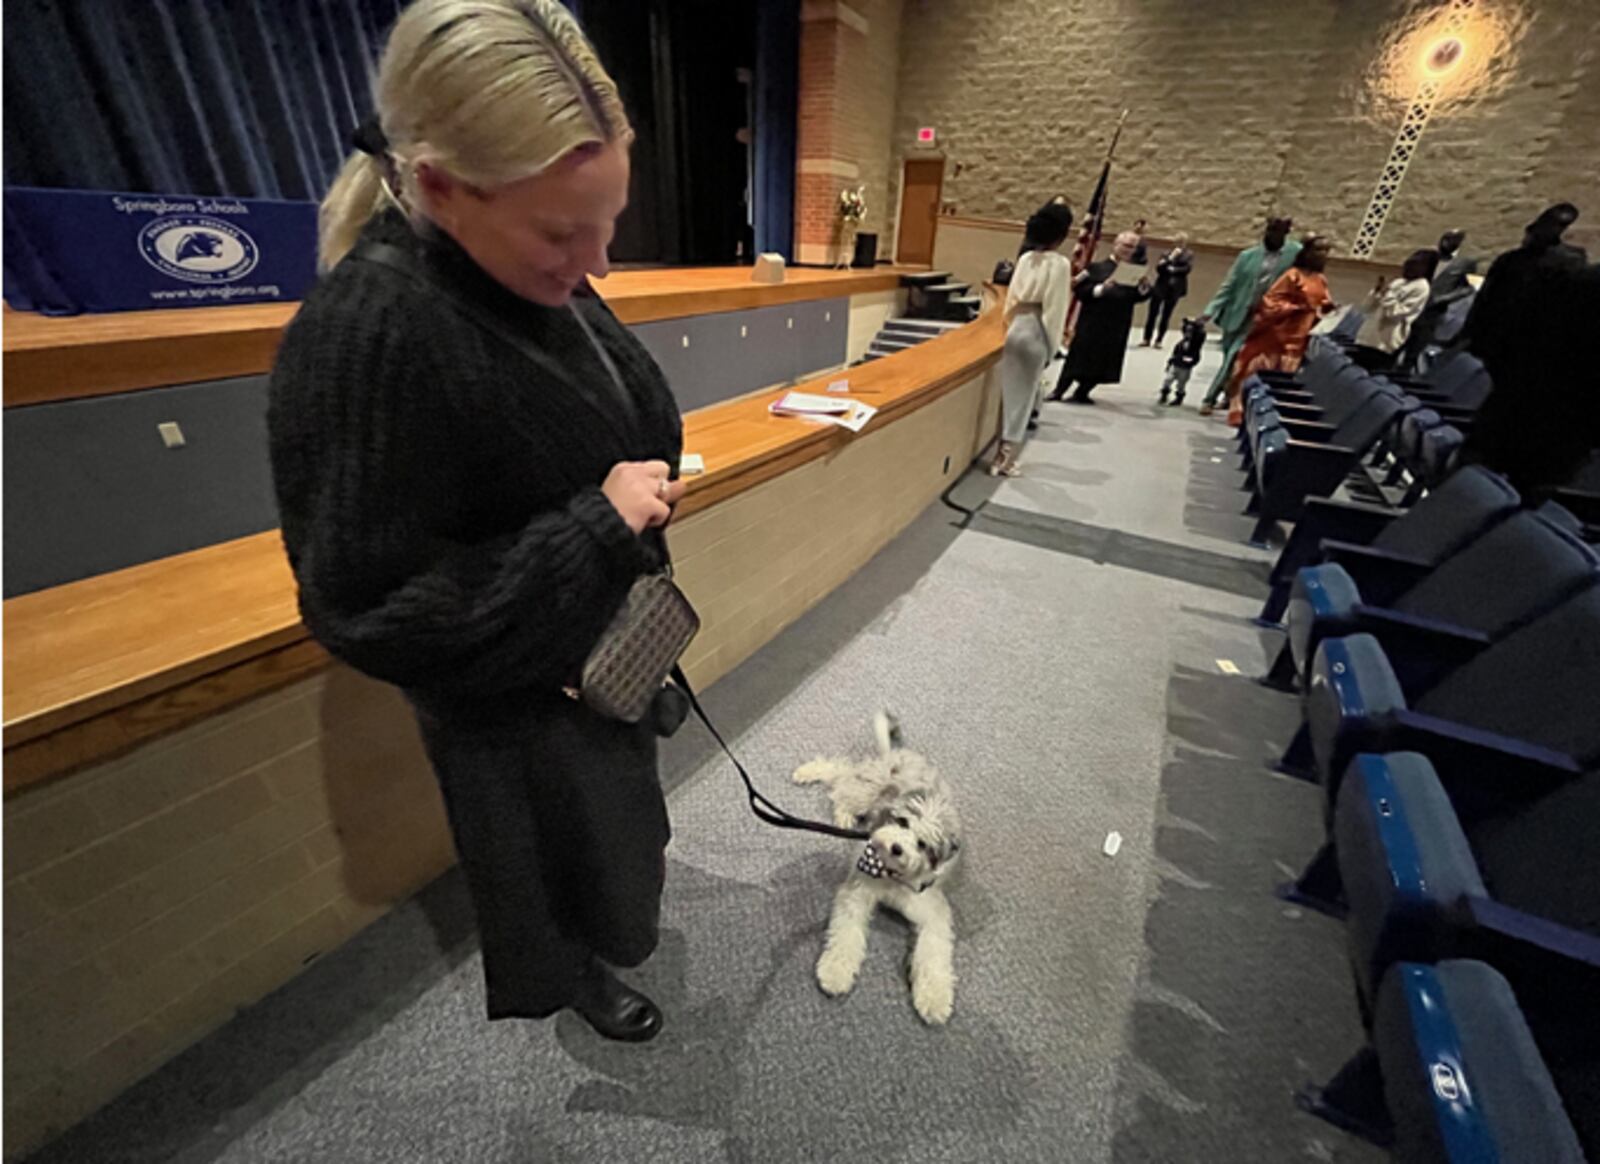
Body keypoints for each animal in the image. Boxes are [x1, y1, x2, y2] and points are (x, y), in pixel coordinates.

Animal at [790, 713, 960, 1023]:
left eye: (922, 844)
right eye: (902, 822)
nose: (895, 847)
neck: (892, 876)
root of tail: (897, 753)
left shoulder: (933, 912)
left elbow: (934, 953)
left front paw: (934, 999)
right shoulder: (857, 891)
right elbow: (846, 934)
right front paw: (835, 972)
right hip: (866, 790)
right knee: (840, 774)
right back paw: (811, 776)